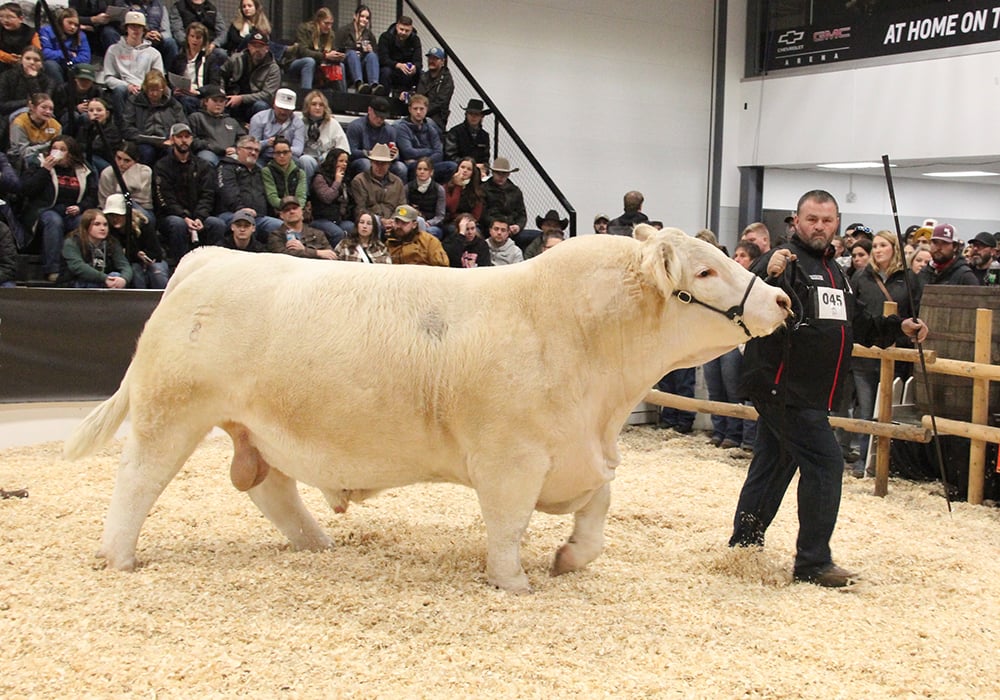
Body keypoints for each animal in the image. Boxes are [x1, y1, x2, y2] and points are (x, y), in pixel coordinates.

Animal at [64, 225, 790, 593]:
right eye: (705, 272)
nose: (782, 299)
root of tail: (207, 258)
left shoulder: (581, 456)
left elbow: (598, 514)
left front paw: (569, 560)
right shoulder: (510, 461)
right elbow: (507, 528)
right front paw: (513, 584)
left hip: (257, 426)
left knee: (269, 486)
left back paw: (318, 545)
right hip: (172, 410)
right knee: (138, 481)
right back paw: (117, 558)